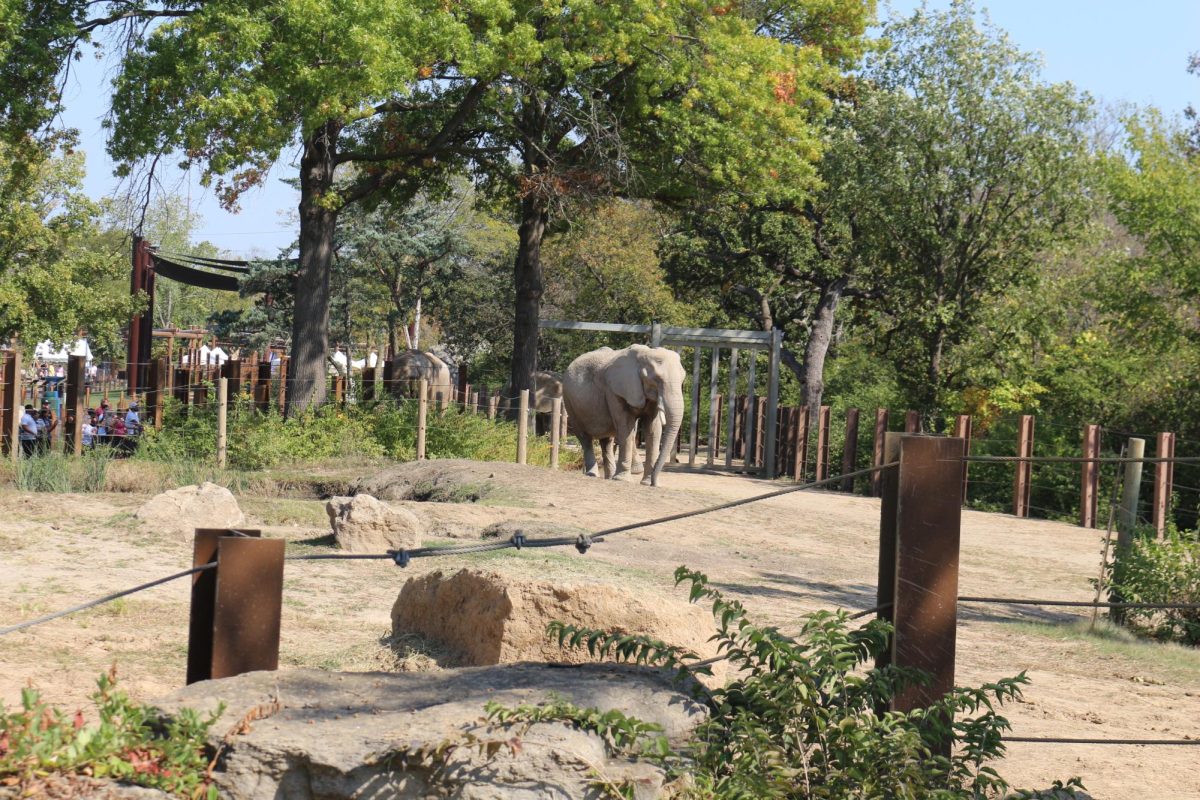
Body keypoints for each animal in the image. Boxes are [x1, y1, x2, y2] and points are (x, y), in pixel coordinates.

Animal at [561, 340, 686, 484]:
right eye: (655, 380)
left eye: (683, 380)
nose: (654, 483)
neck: (645, 354)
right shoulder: (614, 391)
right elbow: (626, 426)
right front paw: (623, 480)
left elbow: (653, 429)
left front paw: (646, 482)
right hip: (569, 401)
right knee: (584, 437)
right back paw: (593, 475)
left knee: (607, 441)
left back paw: (609, 477)